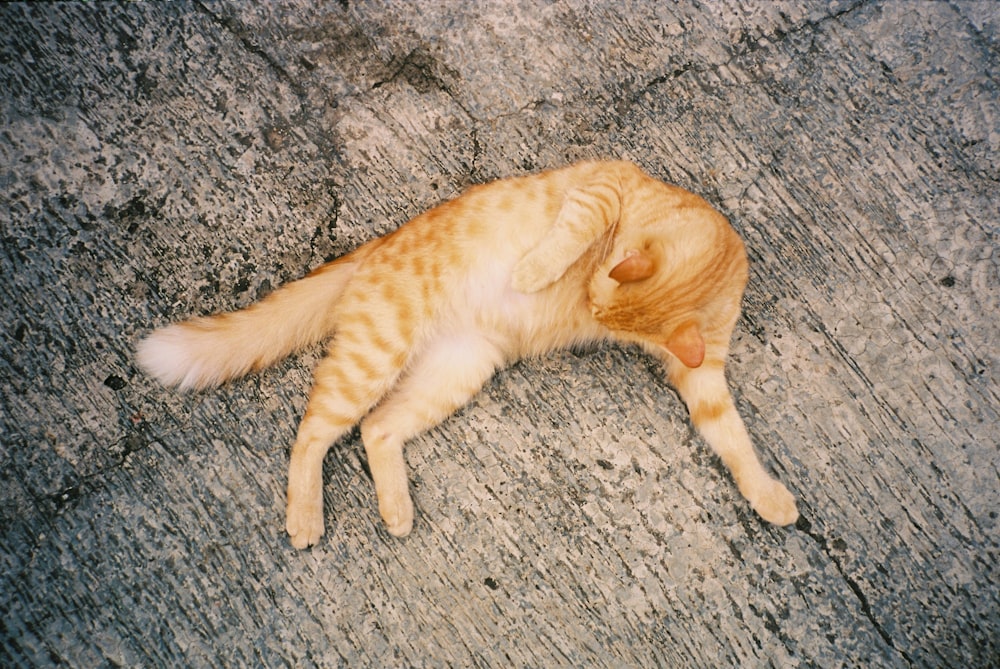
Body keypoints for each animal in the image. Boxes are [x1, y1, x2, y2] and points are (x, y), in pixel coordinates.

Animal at [137, 159, 800, 544]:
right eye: (589, 294)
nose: (587, 304)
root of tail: (375, 245)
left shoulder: (704, 374)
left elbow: (732, 436)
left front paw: (768, 496)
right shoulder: (604, 186)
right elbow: (575, 229)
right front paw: (537, 268)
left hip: (458, 369)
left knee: (377, 429)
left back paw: (396, 511)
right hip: (376, 354)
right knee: (312, 433)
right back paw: (305, 516)